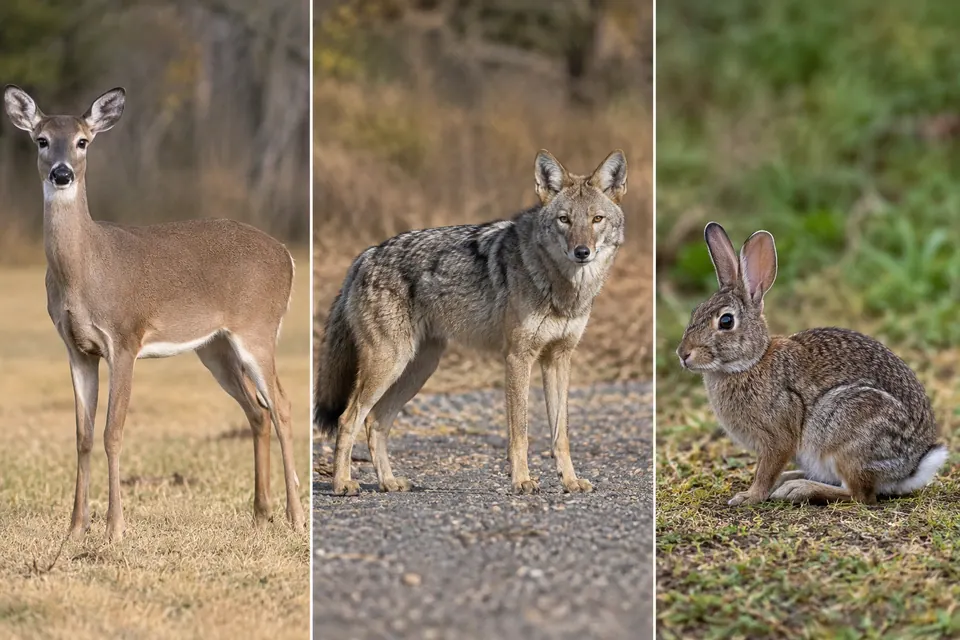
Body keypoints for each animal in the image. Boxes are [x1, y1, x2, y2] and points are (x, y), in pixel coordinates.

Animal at [3, 85, 306, 542]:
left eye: (82, 141)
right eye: (41, 140)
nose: (61, 174)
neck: (85, 270)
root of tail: (287, 256)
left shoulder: (124, 338)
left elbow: (112, 433)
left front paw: (114, 529)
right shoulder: (77, 348)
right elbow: (83, 436)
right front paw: (75, 529)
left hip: (258, 328)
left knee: (283, 406)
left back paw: (295, 516)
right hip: (215, 348)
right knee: (258, 410)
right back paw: (260, 513)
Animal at [676, 222, 949, 506]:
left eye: (726, 321)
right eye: (695, 311)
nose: (683, 354)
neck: (751, 362)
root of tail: (909, 469)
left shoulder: (777, 437)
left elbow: (766, 471)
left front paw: (748, 496)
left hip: (848, 430)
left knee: (859, 495)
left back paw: (797, 489)